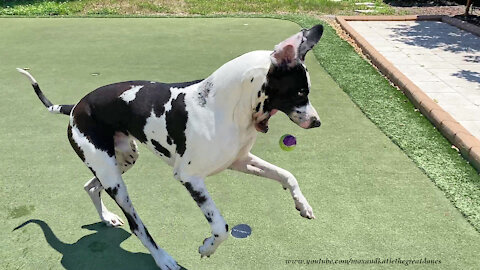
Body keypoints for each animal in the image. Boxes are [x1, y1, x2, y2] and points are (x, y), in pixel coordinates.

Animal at [18, 25, 324, 270]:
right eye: (300, 91)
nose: (317, 122)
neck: (221, 105)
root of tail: (75, 107)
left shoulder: (241, 161)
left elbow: (287, 175)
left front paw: (303, 204)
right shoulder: (190, 178)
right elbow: (221, 227)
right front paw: (207, 248)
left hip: (120, 161)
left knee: (91, 186)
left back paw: (107, 218)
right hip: (115, 180)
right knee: (137, 225)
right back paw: (162, 258)